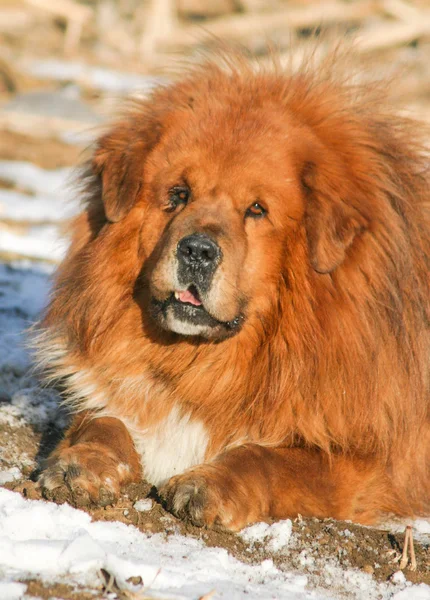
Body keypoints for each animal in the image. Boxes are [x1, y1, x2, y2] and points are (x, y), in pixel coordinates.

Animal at [37, 49, 430, 532]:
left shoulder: (366, 462)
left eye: (256, 209)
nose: (198, 250)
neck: (207, 366)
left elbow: (266, 458)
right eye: (178, 194)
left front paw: (208, 485)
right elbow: (102, 421)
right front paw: (84, 463)